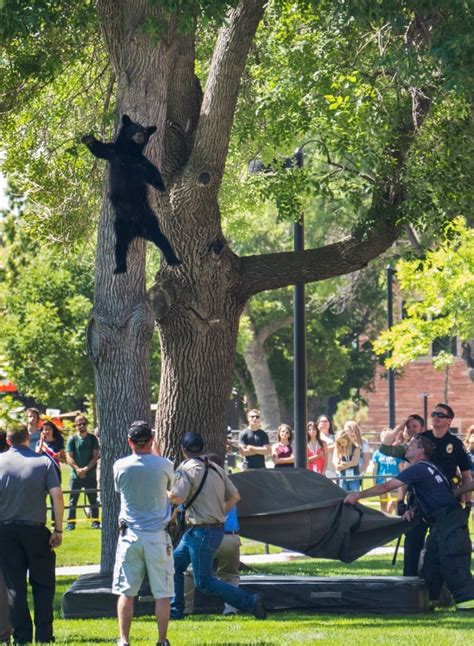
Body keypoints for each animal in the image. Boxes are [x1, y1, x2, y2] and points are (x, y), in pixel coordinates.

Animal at [82, 114, 181, 274]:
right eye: (134, 128)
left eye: (145, 132)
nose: (140, 135)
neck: (129, 152)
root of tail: (137, 230)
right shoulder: (113, 152)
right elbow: (100, 150)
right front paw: (88, 139)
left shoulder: (142, 161)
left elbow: (152, 172)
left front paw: (161, 186)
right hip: (120, 225)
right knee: (120, 246)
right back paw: (120, 268)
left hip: (149, 219)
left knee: (161, 239)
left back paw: (174, 260)